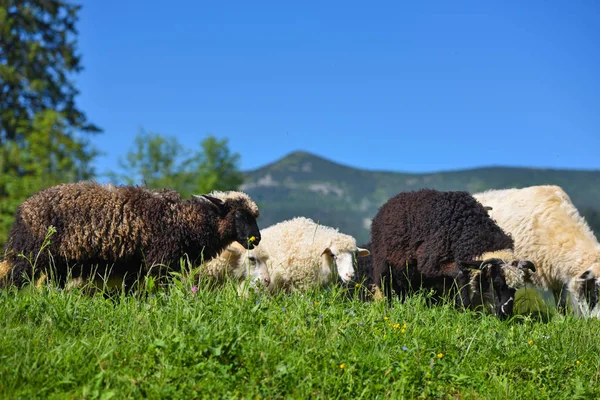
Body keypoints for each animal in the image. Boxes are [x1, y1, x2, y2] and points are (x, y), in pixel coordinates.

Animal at [1, 181, 262, 290]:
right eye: (240, 216)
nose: (256, 239)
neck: (185, 220)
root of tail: (23, 209)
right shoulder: (159, 263)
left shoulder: (135, 268)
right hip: (30, 256)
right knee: (13, 279)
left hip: (58, 265)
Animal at [370, 190, 536, 318]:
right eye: (496, 283)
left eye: (516, 288)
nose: (505, 315)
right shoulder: (430, 263)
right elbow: (460, 273)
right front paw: (465, 307)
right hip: (384, 266)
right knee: (387, 286)